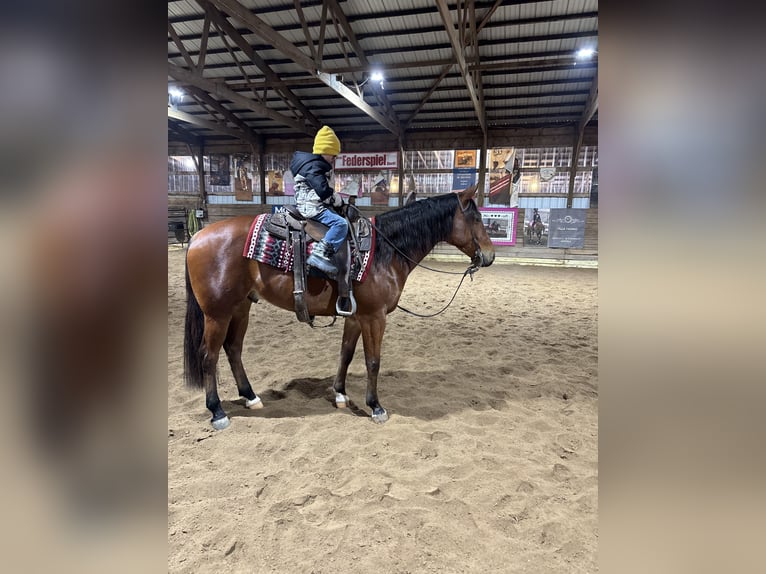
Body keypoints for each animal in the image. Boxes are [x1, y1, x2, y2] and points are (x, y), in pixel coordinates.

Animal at [183, 185, 495, 429]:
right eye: (476, 218)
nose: (490, 256)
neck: (385, 251)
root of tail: (197, 237)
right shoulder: (374, 317)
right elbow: (373, 361)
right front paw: (376, 406)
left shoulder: (356, 316)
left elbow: (346, 354)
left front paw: (341, 394)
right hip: (217, 313)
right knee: (209, 356)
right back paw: (217, 411)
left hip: (240, 308)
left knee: (233, 349)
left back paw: (250, 397)